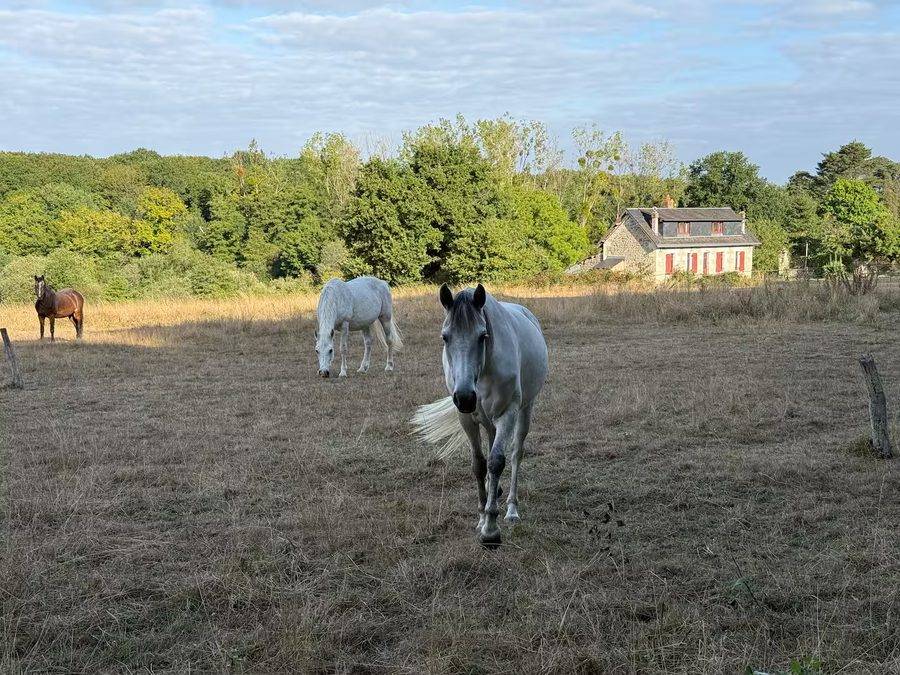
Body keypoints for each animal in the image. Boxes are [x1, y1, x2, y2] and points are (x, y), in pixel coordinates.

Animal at [412, 283, 548, 546]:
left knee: (515, 454)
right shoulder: (467, 418)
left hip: (525, 409)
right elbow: (479, 463)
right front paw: (481, 515)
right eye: (445, 337)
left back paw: (511, 509)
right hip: (487, 419)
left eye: (482, 335)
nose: (465, 397)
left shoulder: (508, 412)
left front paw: (491, 529)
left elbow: (496, 462)